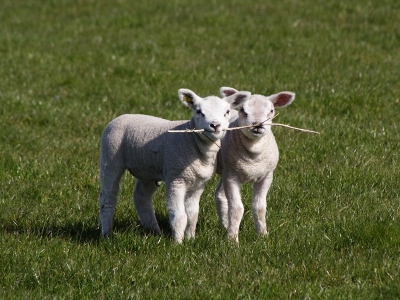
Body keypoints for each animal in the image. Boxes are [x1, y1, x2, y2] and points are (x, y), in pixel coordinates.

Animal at [99, 88, 250, 243]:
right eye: (199, 111)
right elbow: (179, 215)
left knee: (141, 196)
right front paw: (178, 242)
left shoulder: (198, 184)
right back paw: (107, 235)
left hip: (148, 169)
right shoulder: (176, 180)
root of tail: (121, 116)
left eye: (227, 112)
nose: (214, 125)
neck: (191, 140)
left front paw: (190, 238)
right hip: (110, 157)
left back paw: (154, 230)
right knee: (108, 198)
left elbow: (193, 213)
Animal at [216, 86, 294, 244]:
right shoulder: (231, 176)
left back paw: (225, 225)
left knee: (220, 196)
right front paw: (232, 241)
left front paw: (263, 235)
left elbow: (259, 208)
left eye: (271, 111)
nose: (258, 124)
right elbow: (237, 208)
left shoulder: (266, 177)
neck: (253, 157)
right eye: (243, 110)